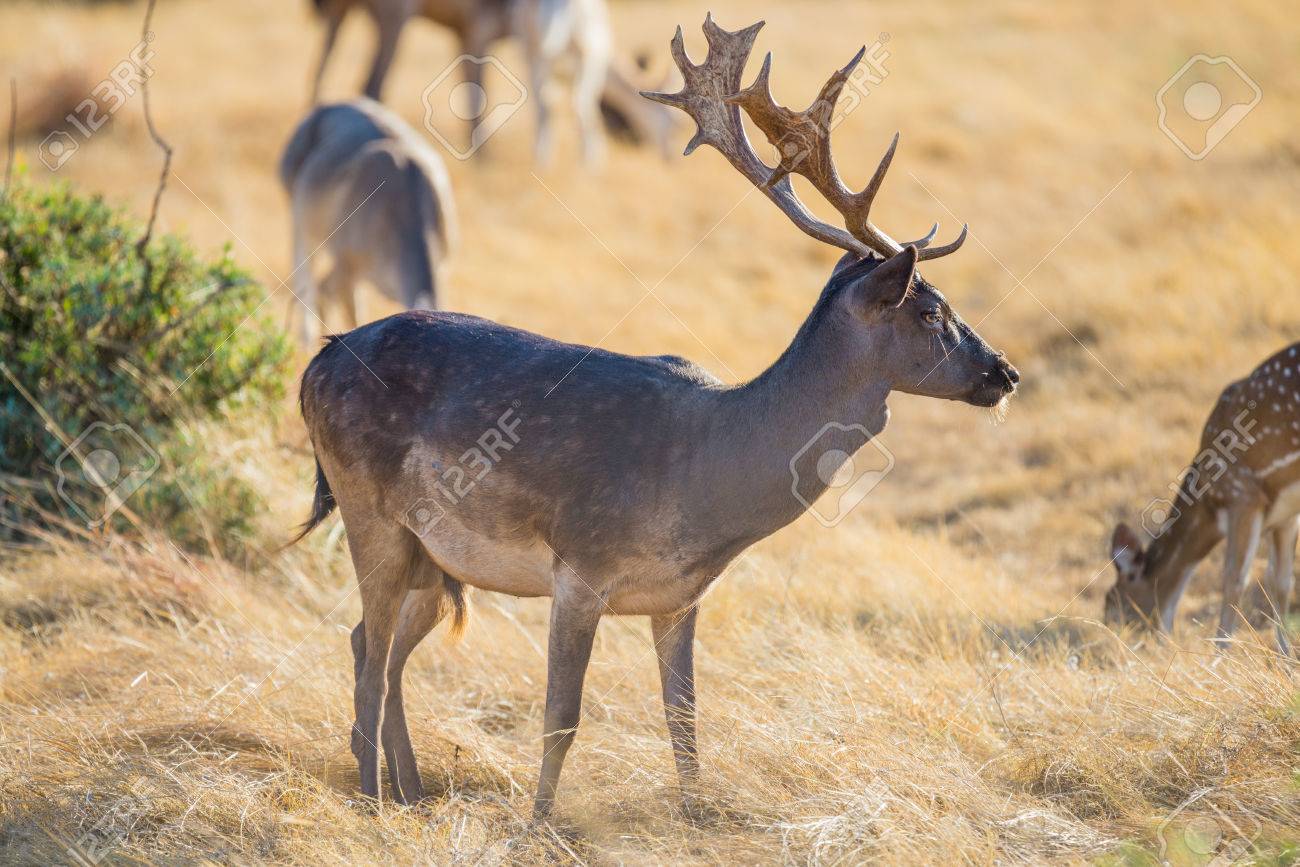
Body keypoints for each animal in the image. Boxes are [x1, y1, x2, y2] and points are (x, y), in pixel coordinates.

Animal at [279, 97, 456, 344]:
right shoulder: (348, 265)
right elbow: (354, 320)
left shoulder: (443, 263)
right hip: (300, 221)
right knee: (306, 280)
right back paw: (306, 339)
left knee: (321, 286)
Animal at [309, 0, 615, 164]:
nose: (549, 33)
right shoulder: (480, 35)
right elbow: (478, 100)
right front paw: (483, 161)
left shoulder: (465, 38)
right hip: (395, 17)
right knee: (371, 85)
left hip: (341, 11)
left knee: (322, 66)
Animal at [1106, 341, 1300, 656]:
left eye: (1112, 603)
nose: (1117, 645)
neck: (1210, 502)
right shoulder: (1285, 513)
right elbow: (1281, 581)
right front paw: (1285, 655)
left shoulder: (1242, 493)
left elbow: (1234, 578)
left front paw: (1219, 655)